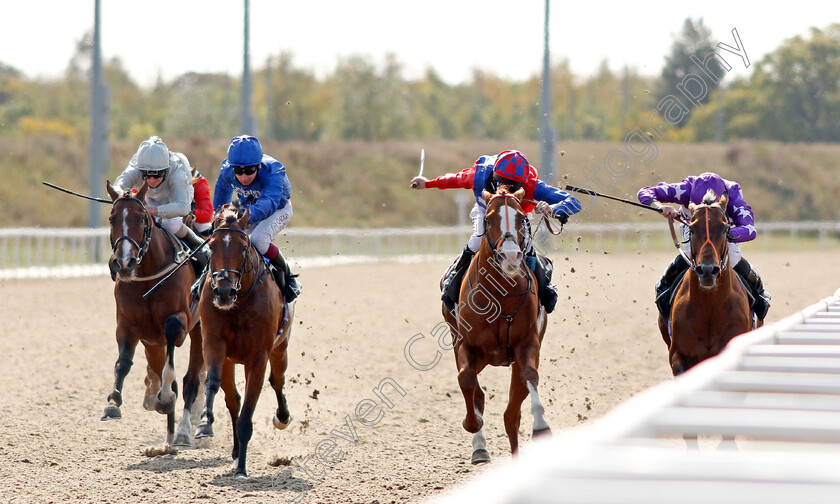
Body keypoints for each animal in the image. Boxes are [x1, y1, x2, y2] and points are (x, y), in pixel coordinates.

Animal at [102, 179, 204, 446]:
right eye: (112, 218)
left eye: (141, 218)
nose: (123, 263)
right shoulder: (128, 325)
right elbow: (123, 362)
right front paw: (113, 402)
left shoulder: (179, 322)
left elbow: (172, 365)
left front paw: (165, 395)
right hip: (152, 342)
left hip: (201, 330)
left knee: (191, 380)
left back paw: (181, 431)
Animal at [194, 203, 296, 478]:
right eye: (211, 246)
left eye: (242, 247)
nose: (223, 291)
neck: (239, 303)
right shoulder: (214, 343)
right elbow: (212, 383)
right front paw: (204, 423)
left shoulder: (258, 357)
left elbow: (248, 412)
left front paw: (241, 468)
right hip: (230, 360)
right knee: (233, 400)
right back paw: (234, 451)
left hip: (281, 348)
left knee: (277, 381)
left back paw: (282, 418)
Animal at [440, 186, 552, 464]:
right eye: (489, 220)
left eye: (522, 218)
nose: (510, 256)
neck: (501, 295)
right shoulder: (465, 345)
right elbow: (467, 379)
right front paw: (474, 427)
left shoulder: (527, 343)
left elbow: (529, 375)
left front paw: (541, 426)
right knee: (477, 391)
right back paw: (479, 445)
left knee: (511, 415)